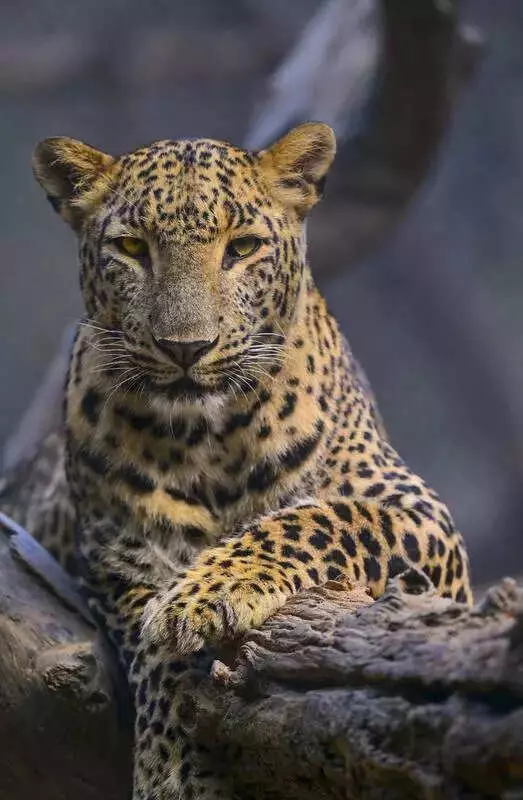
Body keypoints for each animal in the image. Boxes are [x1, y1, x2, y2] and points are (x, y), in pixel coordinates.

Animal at [28, 122, 472, 800]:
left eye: (241, 248)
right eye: (131, 248)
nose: (186, 348)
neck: (206, 439)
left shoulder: (420, 517)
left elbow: (318, 519)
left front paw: (208, 593)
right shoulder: (113, 559)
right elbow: (156, 646)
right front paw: (172, 769)